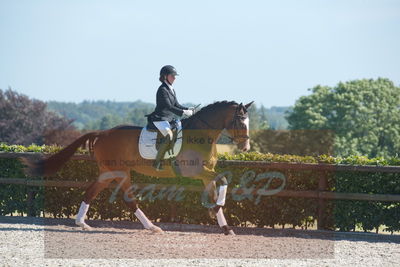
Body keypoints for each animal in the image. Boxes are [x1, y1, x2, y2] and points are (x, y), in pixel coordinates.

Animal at [23, 101, 253, 237]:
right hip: (120, 171)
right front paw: (216, 208)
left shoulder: (205, 174)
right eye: (241, 122)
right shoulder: (196, 171)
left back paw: (82, 223)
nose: (246, 147)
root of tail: (102, 133)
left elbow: (216, 188)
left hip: (109, 173)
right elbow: (224, 180)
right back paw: (152, 227)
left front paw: (223, 224)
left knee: (92, 192)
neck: (201, 135)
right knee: (128, 199)